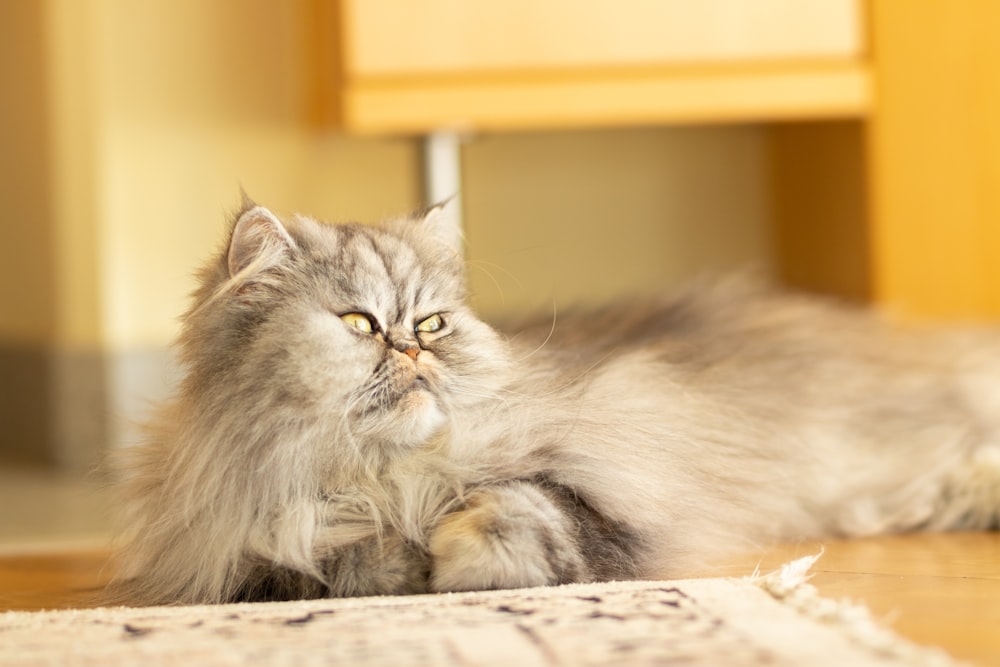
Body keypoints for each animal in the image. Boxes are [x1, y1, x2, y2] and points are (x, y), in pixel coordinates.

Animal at [109, 197, 1000, 604]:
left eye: (431, 323)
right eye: (360, 324)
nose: (413, 350)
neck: (386, 475)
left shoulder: (593, 486)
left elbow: (516, 512)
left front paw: (455, 558)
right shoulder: (250, 554)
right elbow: (341, 561)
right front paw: (402, 560)